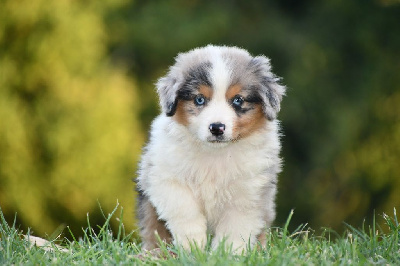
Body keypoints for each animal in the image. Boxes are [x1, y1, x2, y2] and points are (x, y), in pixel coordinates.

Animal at [137, 44, 284, 252]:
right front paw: (193, 247)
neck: (215, 153)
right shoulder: (165, 177)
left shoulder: (249, 191)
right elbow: (185, 210)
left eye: (238, 100)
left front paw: (228, 253)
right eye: (199, 99)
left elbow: (236, 226)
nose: (217, 127)